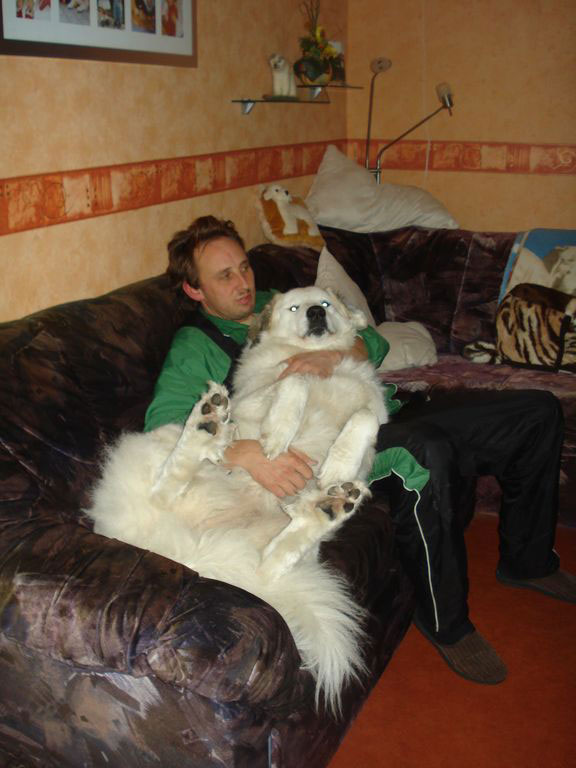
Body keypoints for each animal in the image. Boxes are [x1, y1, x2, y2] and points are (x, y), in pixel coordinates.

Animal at [86, 286, 388, 710]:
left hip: (285, 550)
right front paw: (279, 434)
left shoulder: (373, 413)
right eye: (295, 306)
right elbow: (295, 380)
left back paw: (331, 506)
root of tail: (186, 550)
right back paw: (206, 423)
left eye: (325, 303)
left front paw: (337, 467)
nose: (315, 312)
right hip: (164, 442)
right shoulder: (256, 397)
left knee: (269, 565)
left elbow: (364, 417)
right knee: (165, 487)